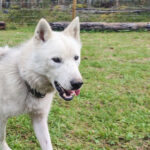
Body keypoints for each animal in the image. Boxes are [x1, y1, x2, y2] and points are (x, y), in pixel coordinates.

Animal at [0, 17, 83, 150]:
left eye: (76, 58)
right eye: (56, 59)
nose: (78, 84)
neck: (26, 81)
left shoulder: (39, 119)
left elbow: (47, 144)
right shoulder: (2, 118)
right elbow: (2, 137)